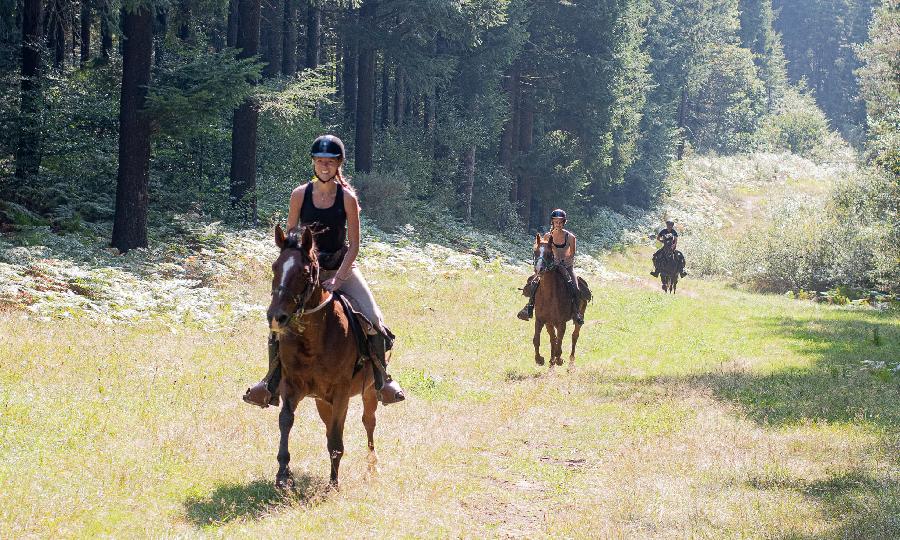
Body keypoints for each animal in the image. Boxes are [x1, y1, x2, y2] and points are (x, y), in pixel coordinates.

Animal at [528, 234, 592, 370]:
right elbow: (537, 339)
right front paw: (539, 359)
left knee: (574, 336)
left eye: (549, 253)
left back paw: (570, 362)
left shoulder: (561, 323)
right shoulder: (540, 320)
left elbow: (560, 341)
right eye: (535, 251)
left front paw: (559, 359)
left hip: (579, 317)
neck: (549, 295)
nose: (539, 269)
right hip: (549, 323)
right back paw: (551, 361)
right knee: (553, 338)